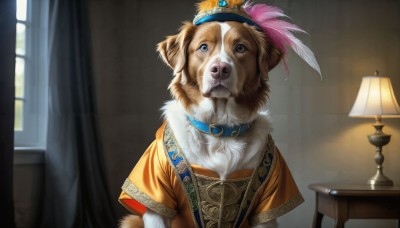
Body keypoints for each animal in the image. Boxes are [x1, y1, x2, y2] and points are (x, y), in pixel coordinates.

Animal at [118, 0, 318, 227]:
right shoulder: (156, 198)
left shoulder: (269, 198)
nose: (220, 69)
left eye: (240, 48)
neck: (220, 129)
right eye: (203, 47)